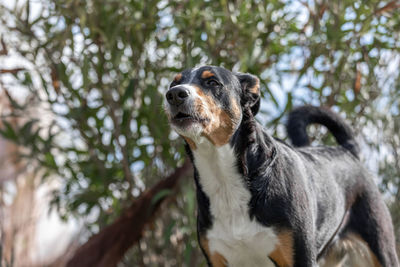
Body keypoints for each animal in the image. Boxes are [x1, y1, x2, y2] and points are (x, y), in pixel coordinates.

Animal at [163, 65, 400, 267]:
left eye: (212, 82)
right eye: (174, 83)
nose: (175, 94)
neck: (224, 177)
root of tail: (347, 151)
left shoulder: (300, 257)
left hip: (380, 246)